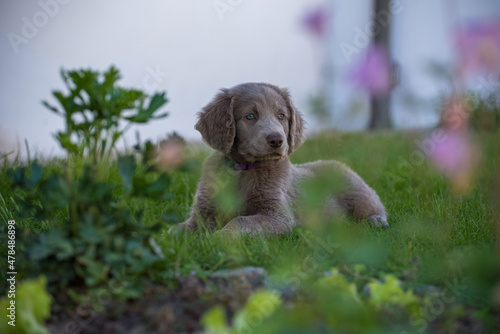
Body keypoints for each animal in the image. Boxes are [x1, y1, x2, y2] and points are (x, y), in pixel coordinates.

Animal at [174, 82, 388, 236]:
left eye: (281, 116)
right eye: (250, 116)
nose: (277, 140)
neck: (243, 169)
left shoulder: (277, 215)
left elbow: (240, 221)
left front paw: (219, 237)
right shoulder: (202, 212)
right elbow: (179, 228)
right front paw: (173, 236)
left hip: (357, 191)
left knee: (376, 206)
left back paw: (376, 221)